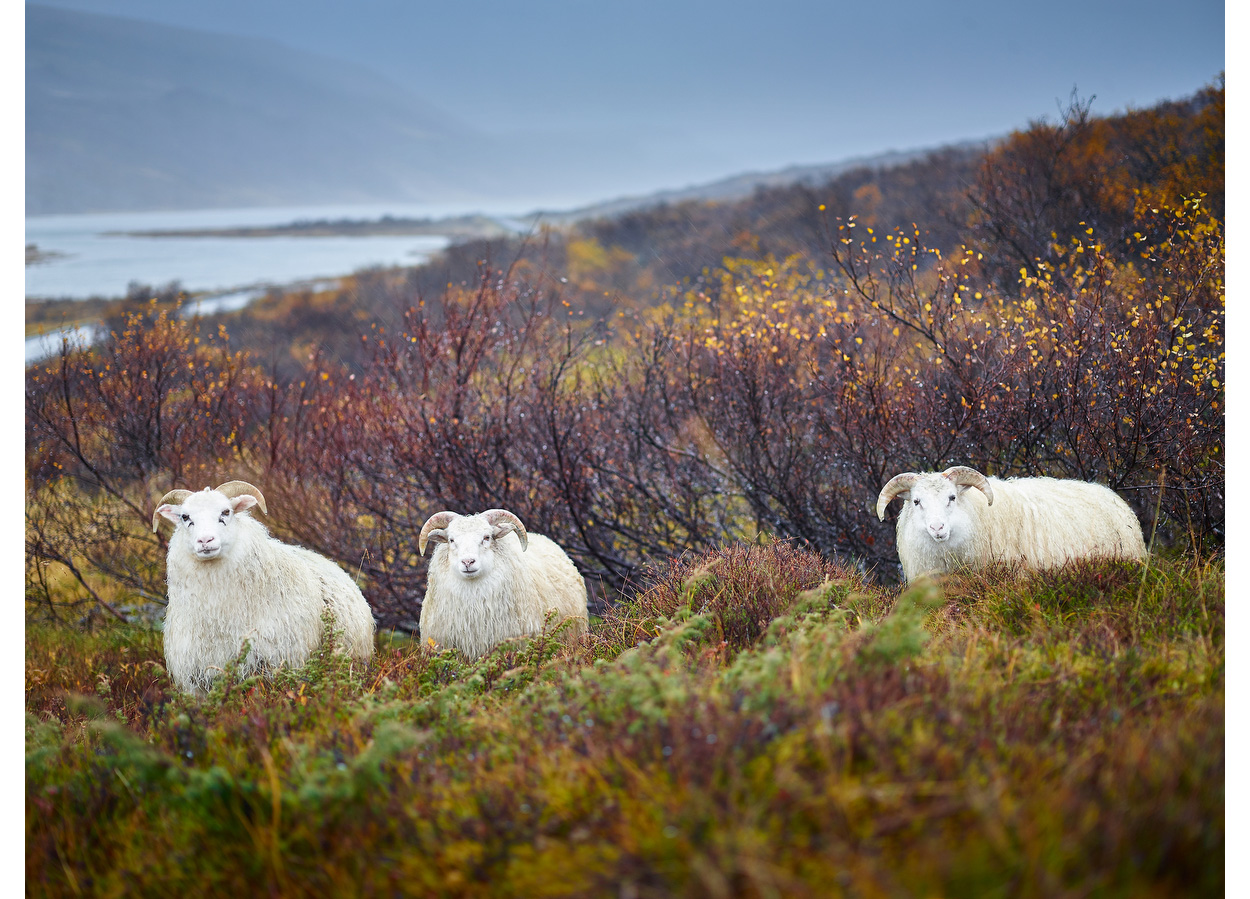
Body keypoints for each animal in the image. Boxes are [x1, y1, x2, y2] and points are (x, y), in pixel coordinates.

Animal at [152, 482, 375, 695]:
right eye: (185, 517)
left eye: (226, 512)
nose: (205, 540)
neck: (218, 617)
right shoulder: (196, 680)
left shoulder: (272, 665)